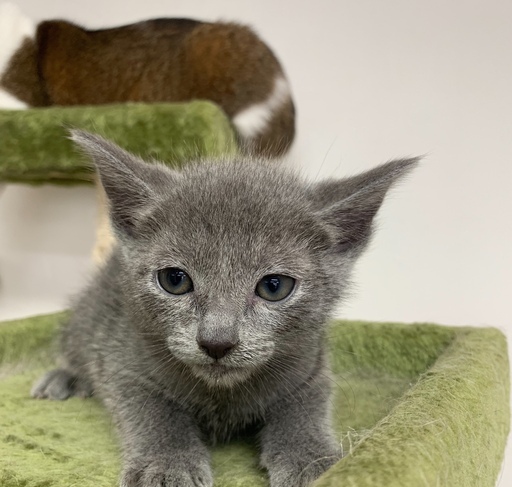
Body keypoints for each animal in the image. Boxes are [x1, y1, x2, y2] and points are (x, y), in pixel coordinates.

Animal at [31, 132, 416, 486]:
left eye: (274, 287)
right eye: (174, 280)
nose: (216, 341)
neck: (222, 397)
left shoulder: (311, 369)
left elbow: (304, 411)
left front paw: (313, 462)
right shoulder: (123, 359)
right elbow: (153, 411)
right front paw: (166, 467)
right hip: (89, 316)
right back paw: (63, 379)